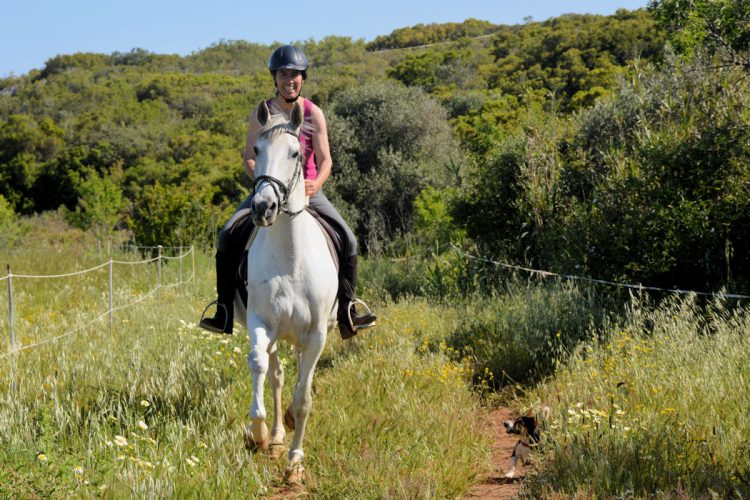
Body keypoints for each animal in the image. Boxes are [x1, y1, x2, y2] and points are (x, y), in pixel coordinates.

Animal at [236, 98, 340, 484]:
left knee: (295, 376)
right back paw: (278, 434)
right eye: (256, 150)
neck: (291, 258)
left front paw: (295, 463)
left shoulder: (316, 335)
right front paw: (260, 434)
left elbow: (304, 397)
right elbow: (259, 365)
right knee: (277, 375)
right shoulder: (260, 323)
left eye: (296, 153)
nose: (263, 207)